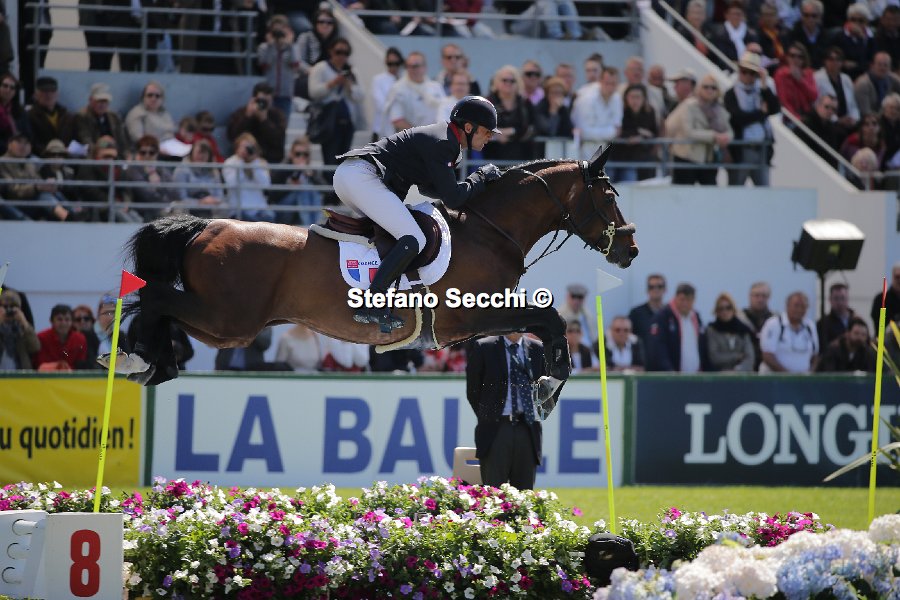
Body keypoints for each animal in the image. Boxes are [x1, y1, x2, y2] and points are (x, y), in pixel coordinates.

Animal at [119, 146, 638, 393]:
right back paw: (139, 359)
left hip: (224, 325)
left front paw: (549, 382)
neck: (489, 230)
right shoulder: (474, 314)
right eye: (610, 195)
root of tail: (205, 227)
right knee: (154, 298)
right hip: (231, 321)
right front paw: (550, 385)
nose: (630, 248)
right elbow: (550, 318)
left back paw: (147, 362)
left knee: (159, 306)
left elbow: (546, 322)